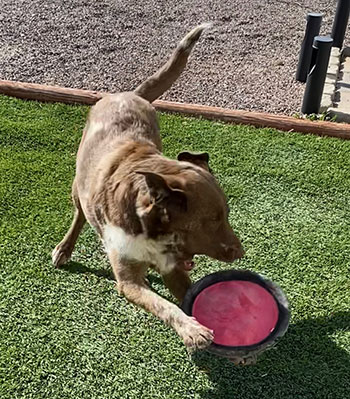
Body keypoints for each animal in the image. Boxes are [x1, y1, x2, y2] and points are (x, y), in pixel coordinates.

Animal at [52, 23, 243, 352]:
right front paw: (193, 330)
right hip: (78, 185)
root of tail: (129, 93)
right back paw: (65, 248)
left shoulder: (173, 268)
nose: (241, 252)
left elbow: (186, 296)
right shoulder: (128, 280)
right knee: (79, 215)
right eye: (213, 220)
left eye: (227, 214)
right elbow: (165, 306)